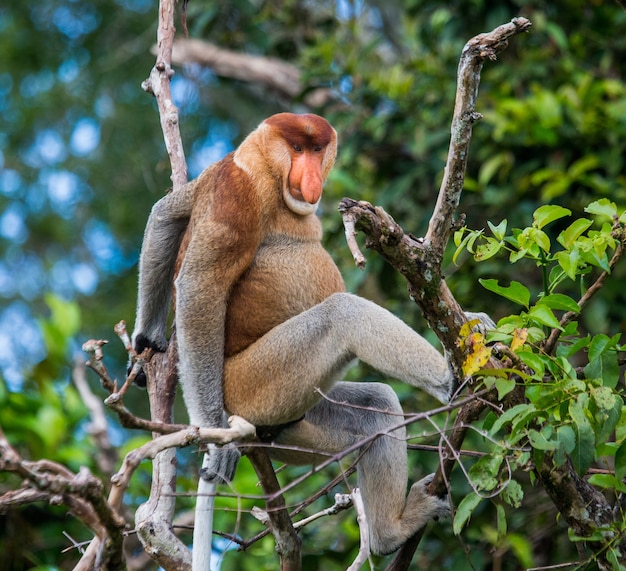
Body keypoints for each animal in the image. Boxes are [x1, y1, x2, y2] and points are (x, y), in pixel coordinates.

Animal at [133, 114, 454, 556]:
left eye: (318, 150)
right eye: (298, 149)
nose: (312, 174)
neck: (264, 165)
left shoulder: (213, 174)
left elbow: (166, 213)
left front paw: (145, 341)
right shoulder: (239, 190)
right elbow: (201, 287)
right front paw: (215, 439)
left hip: (300, 416)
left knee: (379, 405)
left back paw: (390, 532)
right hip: (254, 383)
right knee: (342, 315)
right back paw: (454, 378)